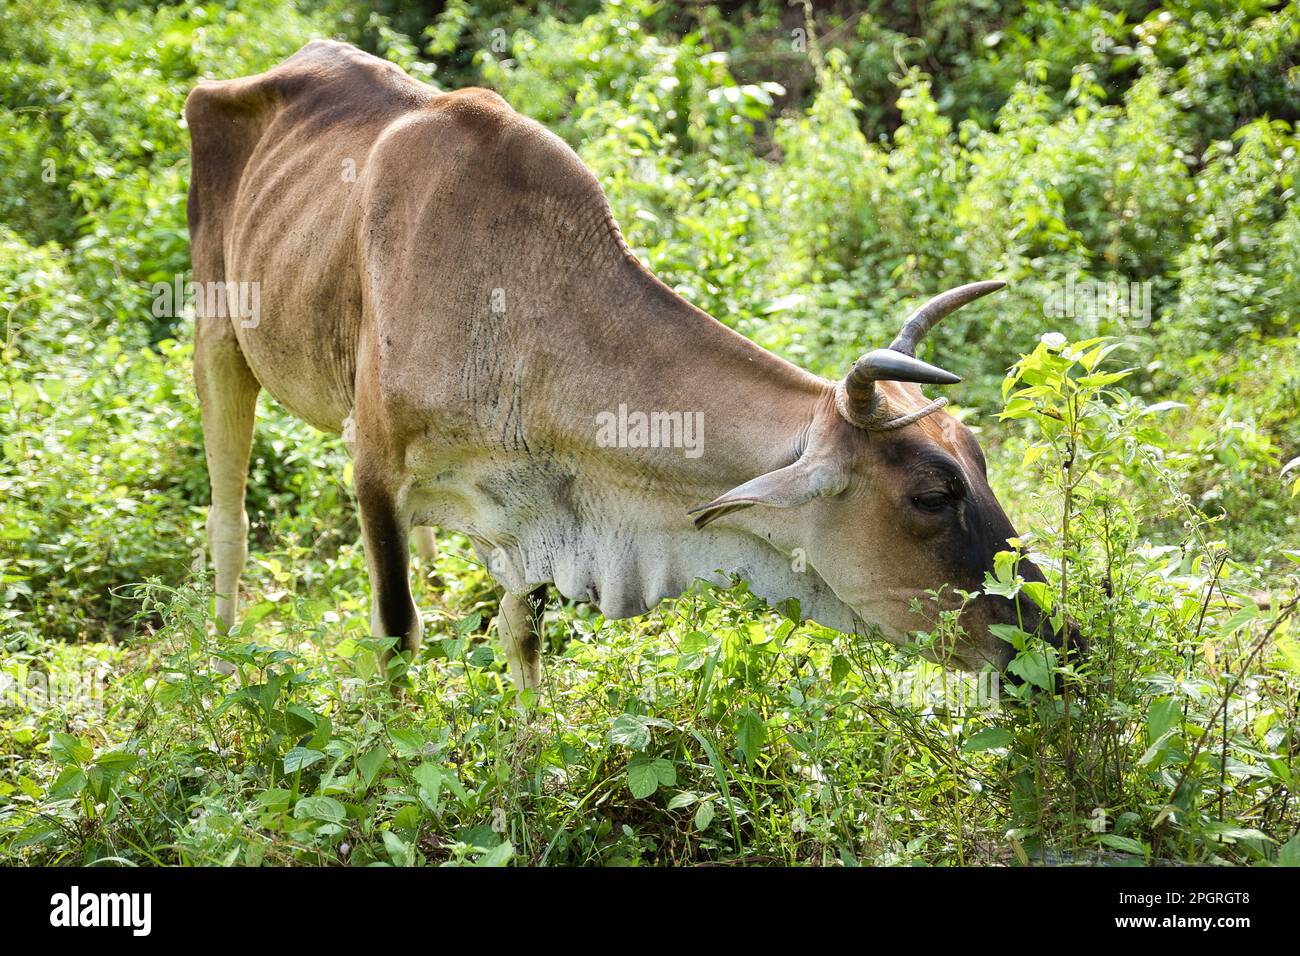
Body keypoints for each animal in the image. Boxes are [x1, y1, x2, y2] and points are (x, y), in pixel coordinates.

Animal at [186, 40, 1073, 690]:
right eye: (932, 495)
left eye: (980, 460)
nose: (1056, 650)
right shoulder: (373, 474)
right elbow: (399, 636)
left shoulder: (530, 512)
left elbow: (522, 638)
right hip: (216, 339)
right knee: (228, 518)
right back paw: (223, 661)